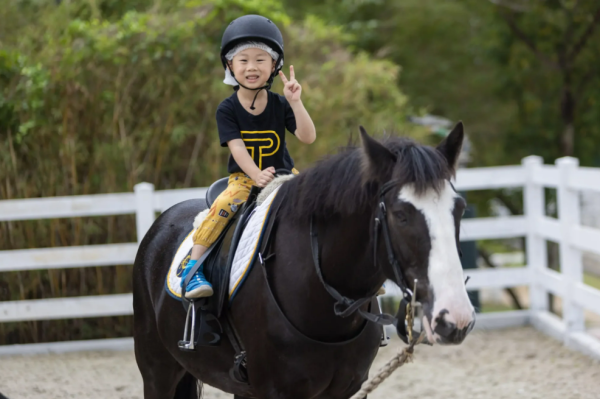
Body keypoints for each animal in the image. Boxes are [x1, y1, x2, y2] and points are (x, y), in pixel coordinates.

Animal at [134, 123, 476, 398]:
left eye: (459, 209)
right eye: (401, 215)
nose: (455, 317)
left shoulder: (344, 390)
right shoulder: (275, 390)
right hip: (157, 370)